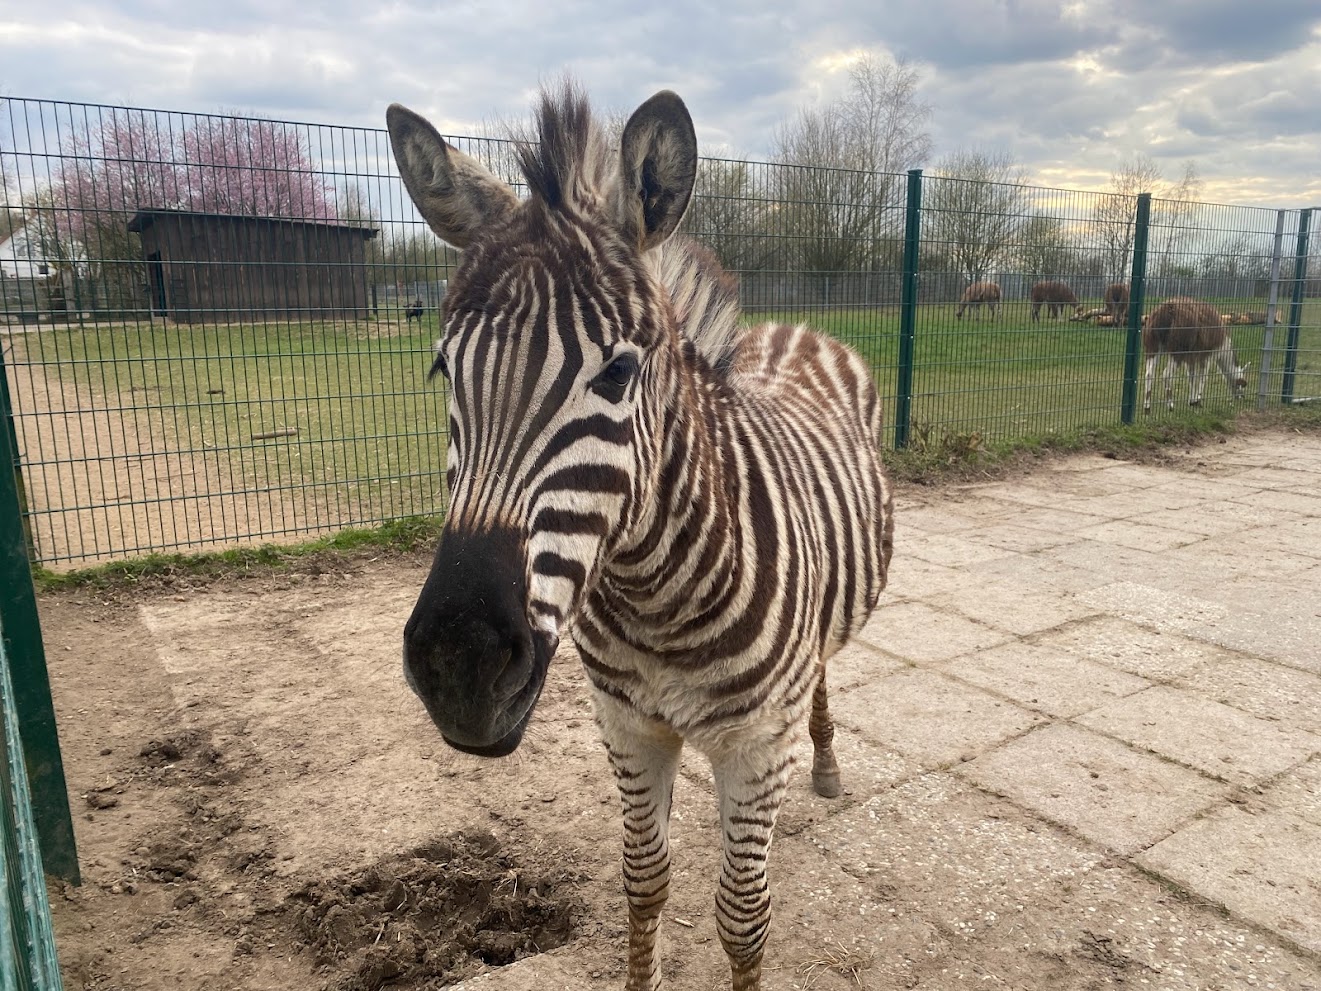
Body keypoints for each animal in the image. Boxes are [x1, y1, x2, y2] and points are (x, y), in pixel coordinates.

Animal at [390, 81, 894, 991]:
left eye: (619, 373)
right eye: (444, 368)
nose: (459, 666)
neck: (657, 596)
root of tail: (796, 327)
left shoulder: (753, 746)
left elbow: (742, 916)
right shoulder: (626, 726)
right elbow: (643, 879)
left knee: (823, 673)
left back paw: (827, 763)